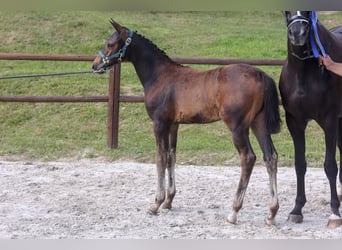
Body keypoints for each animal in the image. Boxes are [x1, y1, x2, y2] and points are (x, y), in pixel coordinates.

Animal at [93, 18, 280, 224]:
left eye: (110, 44)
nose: (95, 65)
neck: (160, 76)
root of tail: (260, 74)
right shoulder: (173, 125)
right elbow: (171, 157)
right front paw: (168, 201)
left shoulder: (159, 123)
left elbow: (160, 158)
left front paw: (156, 203)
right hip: (258, 123)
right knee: (271, 157)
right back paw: (271, 213)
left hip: (238, 127)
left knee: (248, 158)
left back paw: (234, 212)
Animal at [280, 10, 342, 228]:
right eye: (286, 12)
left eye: (309, 12)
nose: (297, 32)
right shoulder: (295, 122)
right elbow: (300, 165)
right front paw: (297, 209)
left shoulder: (330, 121)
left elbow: (330, 166)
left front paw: (335, 213)